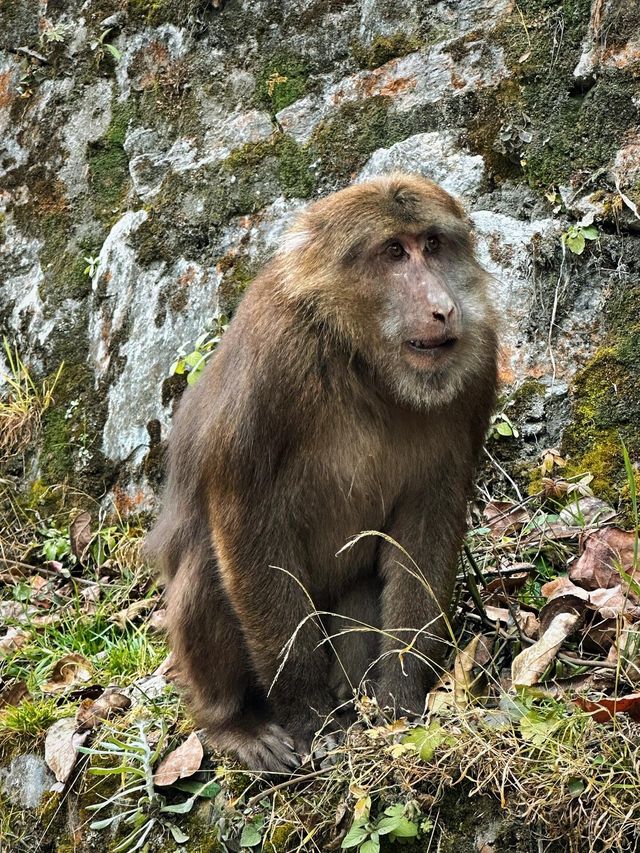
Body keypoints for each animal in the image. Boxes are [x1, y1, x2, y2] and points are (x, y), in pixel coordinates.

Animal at [146, 171, 500, 772]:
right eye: (394, 252)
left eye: (432, 245)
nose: (442, 307)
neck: (360, 361)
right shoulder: (272, 361)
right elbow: (247, 524)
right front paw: (307, 713)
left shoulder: (478, 366)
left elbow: (428, 524)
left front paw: (400, 693)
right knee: (204, 567)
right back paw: (231, 723)